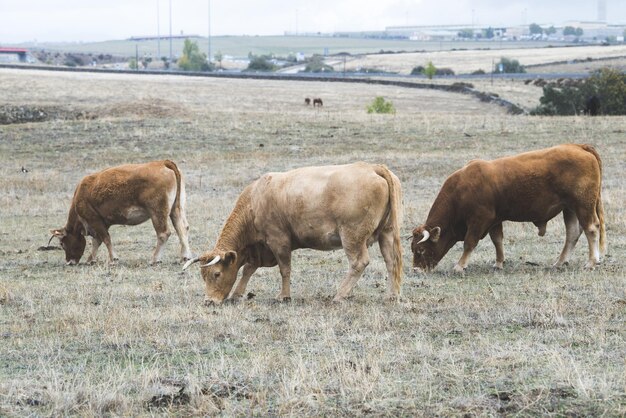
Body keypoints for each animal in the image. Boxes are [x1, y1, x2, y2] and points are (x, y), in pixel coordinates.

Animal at [50, 160, 191, 264]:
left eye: (62, 243)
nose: (69, 262)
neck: (81, 193)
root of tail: (163, 162)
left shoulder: (94, 220)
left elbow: (105, 239)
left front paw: (113, 259)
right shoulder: (101, 223)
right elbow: (97, 241)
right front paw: (91, 259)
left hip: (157, 212)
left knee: (163, 233)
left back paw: (154, 259)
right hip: (176, 210)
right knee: (182, 229)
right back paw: (185, 256)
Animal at [183, 162, 402, 304]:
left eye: (217, 273)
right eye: (203, 275)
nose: (209, 301)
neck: (255, 200)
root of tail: (372, 167)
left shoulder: (278, 241)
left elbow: (284, 269)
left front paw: (284, 296)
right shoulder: (258, 248)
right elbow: (248, 269)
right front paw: (237, 294)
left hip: (351, 236)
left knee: (359, 263)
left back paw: (339, 295)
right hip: (386, 232)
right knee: (391, 261)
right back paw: (392, 295)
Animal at [410, 145, 604, 274]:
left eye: (421, 250)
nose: (416, 270)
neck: (461, 189)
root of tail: (579, 147)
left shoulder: (479, 220)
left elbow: (469, 242)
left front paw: (460, 265)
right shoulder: (495, 220)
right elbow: (497, 241)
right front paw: (498, 263)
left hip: (582, 205)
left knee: (591, 229)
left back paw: (592, 262)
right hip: (569, 208)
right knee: (573, 233)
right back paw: (560, 262)